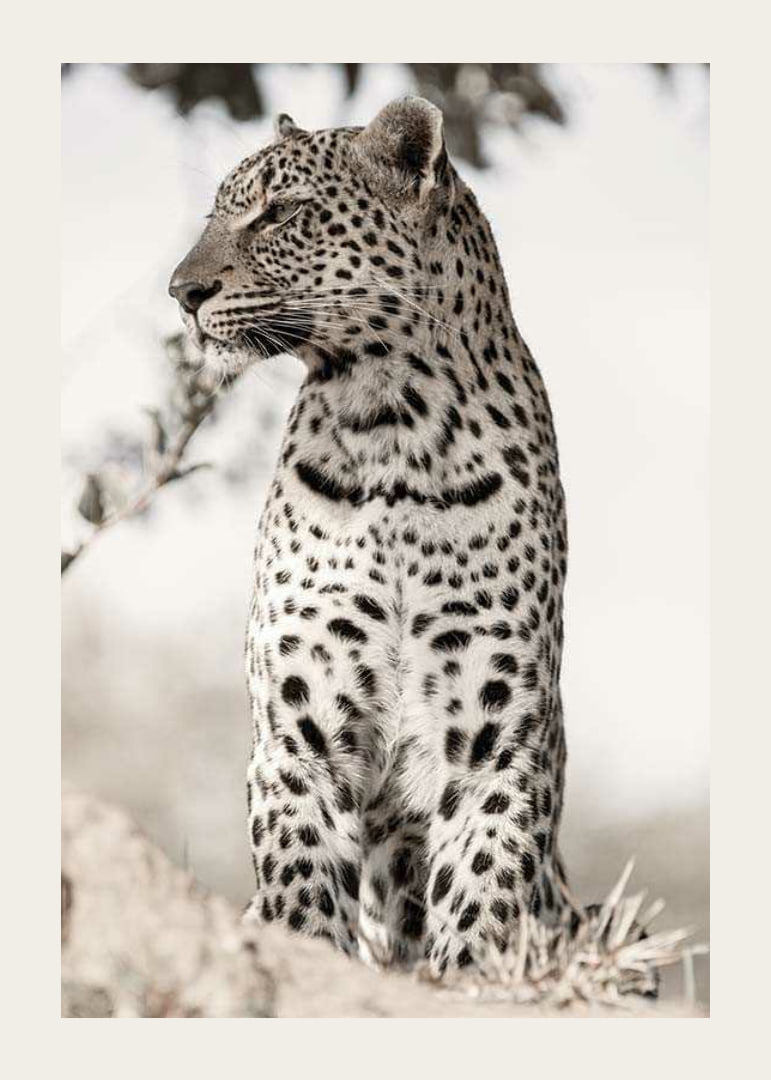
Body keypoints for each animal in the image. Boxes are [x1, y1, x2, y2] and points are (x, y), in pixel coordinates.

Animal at [169, 97, 580, 977]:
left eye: (279, 212)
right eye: (217, 212)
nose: (181, 292)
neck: (392, 424)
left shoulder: (495, 743)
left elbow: (480, 901)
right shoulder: (299, 733)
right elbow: (299, 895)